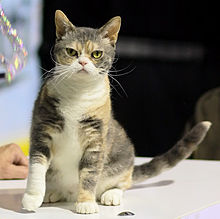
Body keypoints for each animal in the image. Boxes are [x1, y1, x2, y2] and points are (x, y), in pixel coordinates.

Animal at [21, 10, 211, 214]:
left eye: (96, 54)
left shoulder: (96, 139)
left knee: (124, 183)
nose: (83, 62)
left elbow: (89, 173)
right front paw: (32, 198)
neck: (77, 95)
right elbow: (36, 166)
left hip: (123, 159)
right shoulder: (42, 129)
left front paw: (86, 202)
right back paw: (52, 193)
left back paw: (111, 194)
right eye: (71, 52)